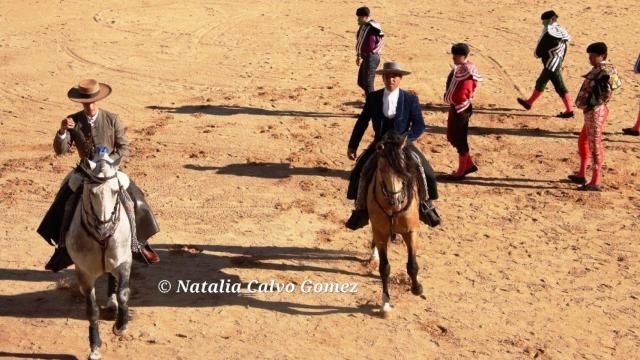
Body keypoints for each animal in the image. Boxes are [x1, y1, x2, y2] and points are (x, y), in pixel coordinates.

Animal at [66, 155, 132, 360]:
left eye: (115, 191)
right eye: (91, 192)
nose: (105, 227)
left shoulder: (124, 261)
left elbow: (124, 294)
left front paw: (120, 327)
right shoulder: (85, 273)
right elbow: (92, 311)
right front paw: (95, 347)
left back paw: (112, 302)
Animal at [368, 131, 422, 318]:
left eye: (403, 168)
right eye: (381, 170)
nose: (396, 200)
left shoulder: (411, 231)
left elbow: (412, 264)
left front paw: (417, 288)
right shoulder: (380, 232)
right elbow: (385, 268)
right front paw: (385, 304)